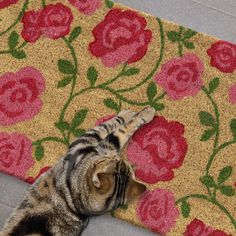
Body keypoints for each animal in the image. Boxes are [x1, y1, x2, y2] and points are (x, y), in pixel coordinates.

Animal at [1, 107, 157, 236]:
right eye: (119, 161)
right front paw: (134, 114)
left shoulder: (87, 143)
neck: (77, 202)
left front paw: (141, 114)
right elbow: (115, 130)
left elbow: (116, 130)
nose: (129, 163)